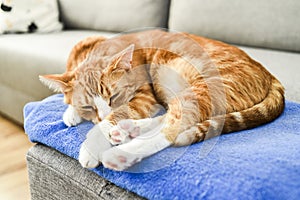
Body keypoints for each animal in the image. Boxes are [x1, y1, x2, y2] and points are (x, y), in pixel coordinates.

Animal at [39, 29, 284, 170]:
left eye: (114, 96)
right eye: (87, 106)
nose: (100, 116)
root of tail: (270, 74)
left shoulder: (145, 95)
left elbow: (117, 114)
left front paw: (91, 146)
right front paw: (71, 113)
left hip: (201, 87)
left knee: (173, 126)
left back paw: (121, 153)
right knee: (168, 117)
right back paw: (128, 130)